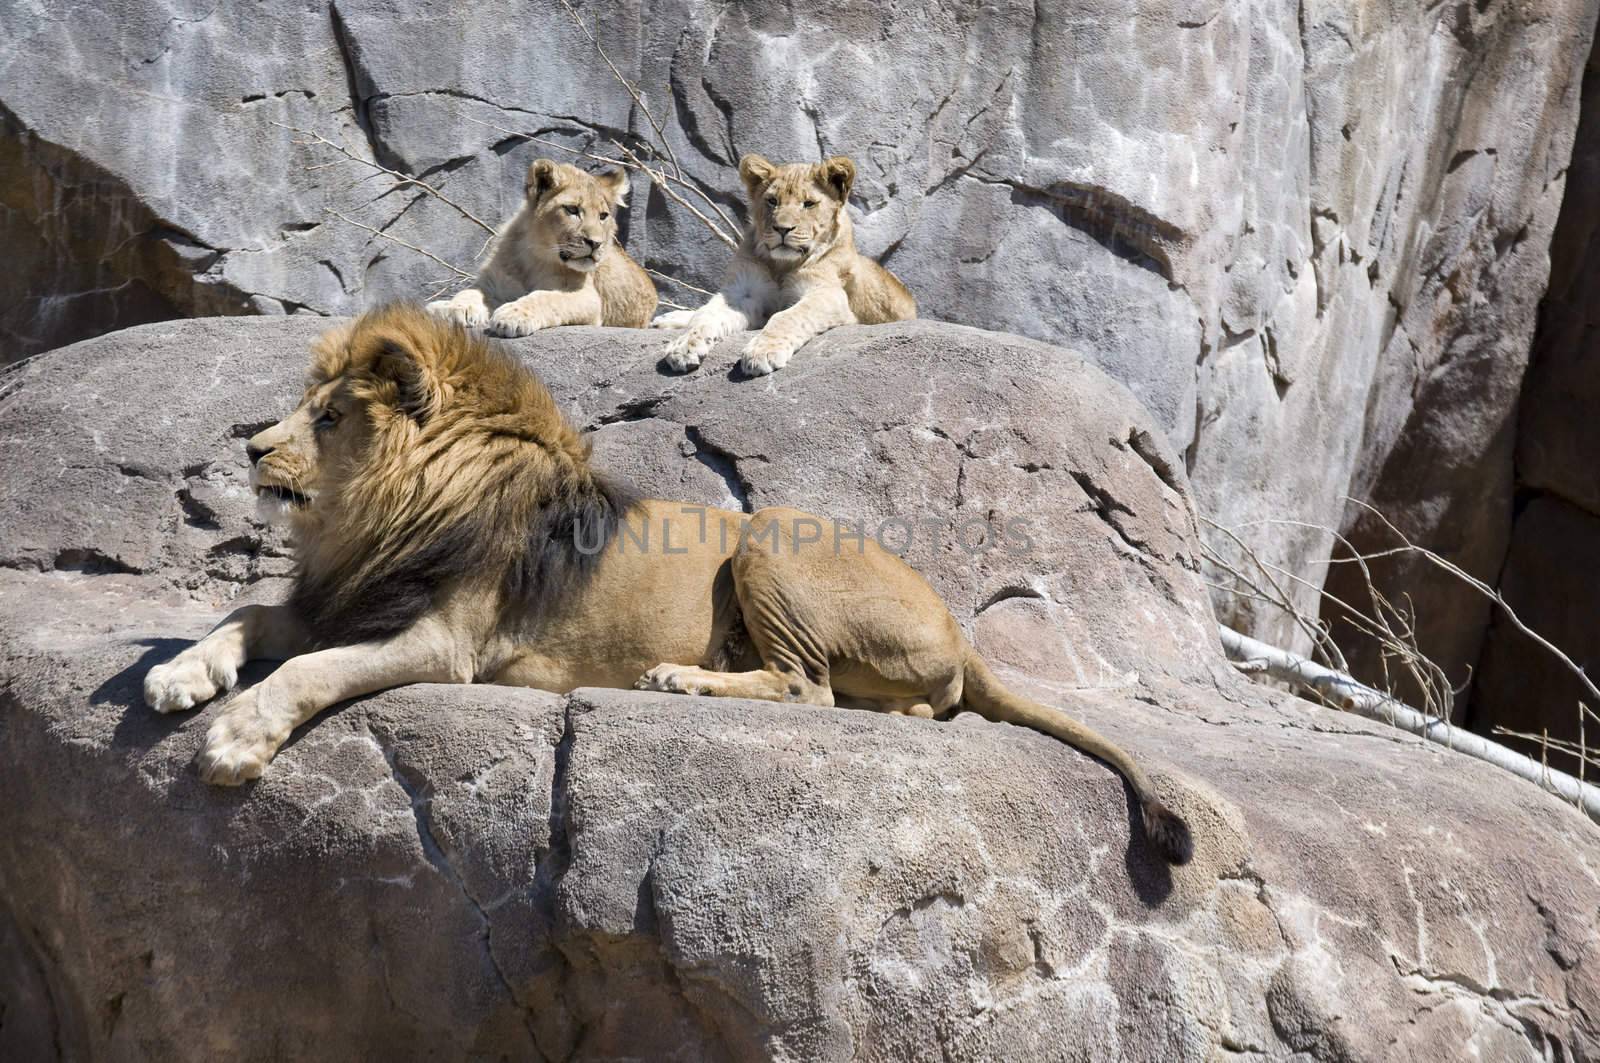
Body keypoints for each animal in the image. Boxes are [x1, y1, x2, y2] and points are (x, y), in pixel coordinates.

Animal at [147, 305, 1190, 864]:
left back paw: (681, 679)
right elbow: (246, 614)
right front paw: (181, 675)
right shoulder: (344, 595)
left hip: (770, 534)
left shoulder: (442, 641)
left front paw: (235, 737)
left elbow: (309, 672)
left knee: (807, 688)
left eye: (328, 417)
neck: (371, 517)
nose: (252, 447)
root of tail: (963, 629)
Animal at [428, 160, 659, 334]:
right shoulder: (492, 284)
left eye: (603, 216)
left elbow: (547, 298)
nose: (595, 243)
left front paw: (513, 315)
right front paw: (457, 308)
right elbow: (470, 291)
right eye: (572, 210)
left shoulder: (589, 298)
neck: (533, 257)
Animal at [656, 153, 921, 377]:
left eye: (809, 204)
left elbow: (788, 316)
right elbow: (706, 316)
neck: (781, 265)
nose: (782, 229)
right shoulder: (742, 292)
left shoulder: (829, 294)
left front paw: (762, 352)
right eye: (772, 201)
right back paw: (666, 319)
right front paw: (683, 346)